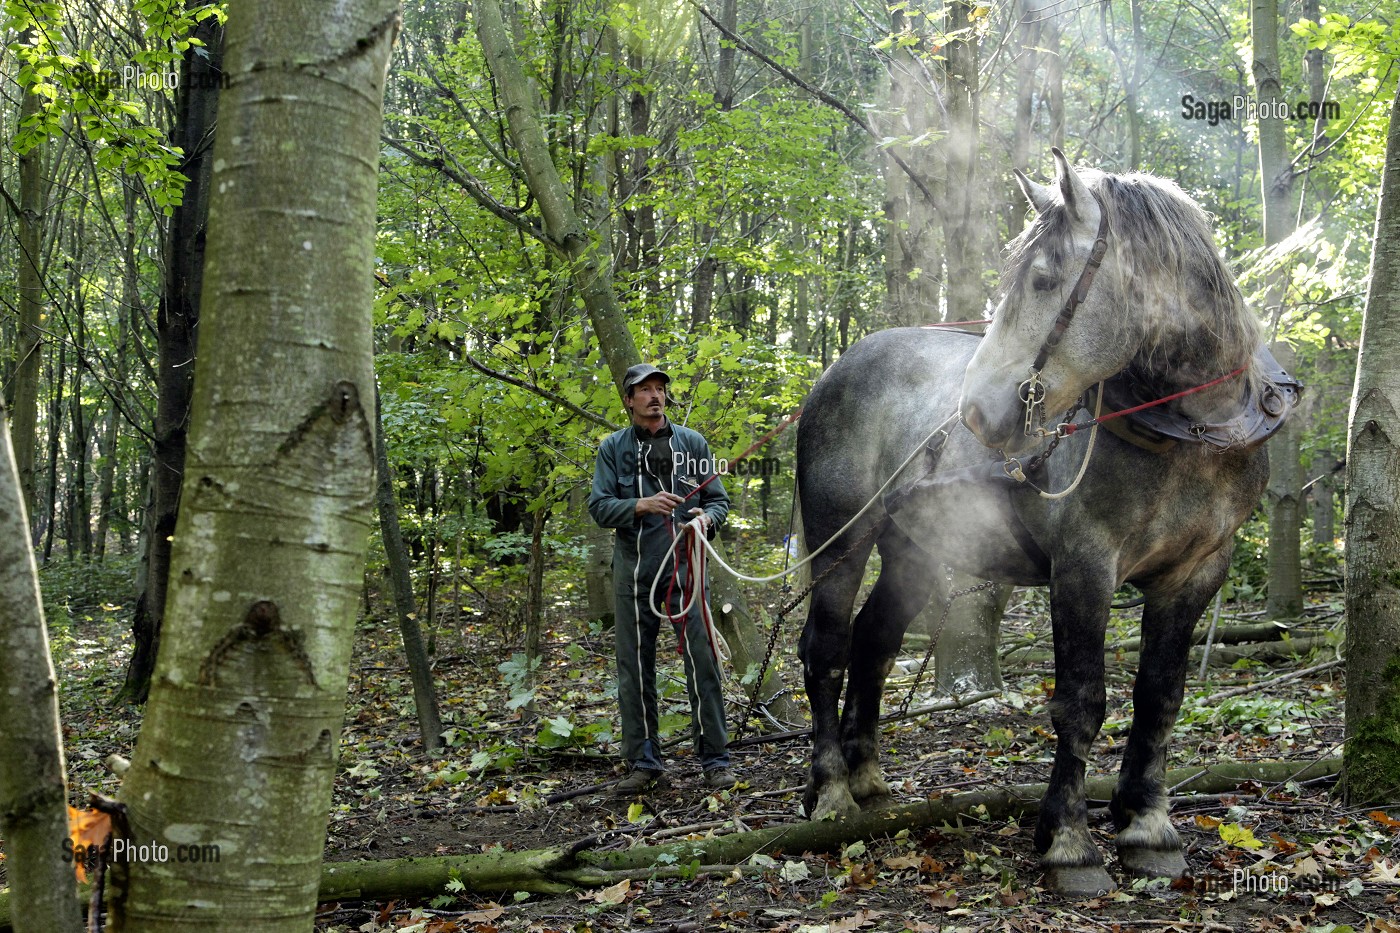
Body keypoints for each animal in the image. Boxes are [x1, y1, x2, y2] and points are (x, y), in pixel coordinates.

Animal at [794, 149, 1298, 896]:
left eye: (1041, 278)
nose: (976, 411)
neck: (1194, 435)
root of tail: (838, 369)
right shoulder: (1084, 565)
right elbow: (1082, 700)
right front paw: (1070, 841)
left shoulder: (1196, 572)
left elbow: (1160, 696)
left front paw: (1148, 828)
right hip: (841, 540)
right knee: (826, 647)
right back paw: (829, 790)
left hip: (914, 548)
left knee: (874, 640)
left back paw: (869, 779)